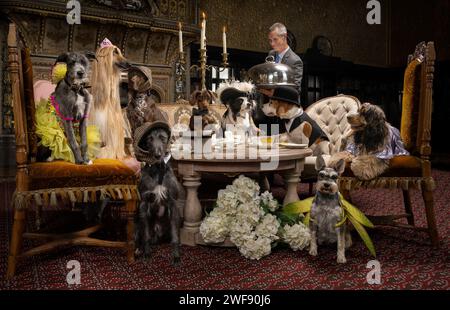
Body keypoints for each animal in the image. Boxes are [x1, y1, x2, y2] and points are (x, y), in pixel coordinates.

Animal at [134, 121, 183, 264]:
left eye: (162, 138)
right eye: (149, 139)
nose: (157, 155)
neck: (158, 170)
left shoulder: (173, 203)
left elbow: (175, 237)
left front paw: (176, 256)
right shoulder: (144, 203)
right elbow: (145, 235)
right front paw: (147, 254)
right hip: (137, 224)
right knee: (140, 236)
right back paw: (138, 250)